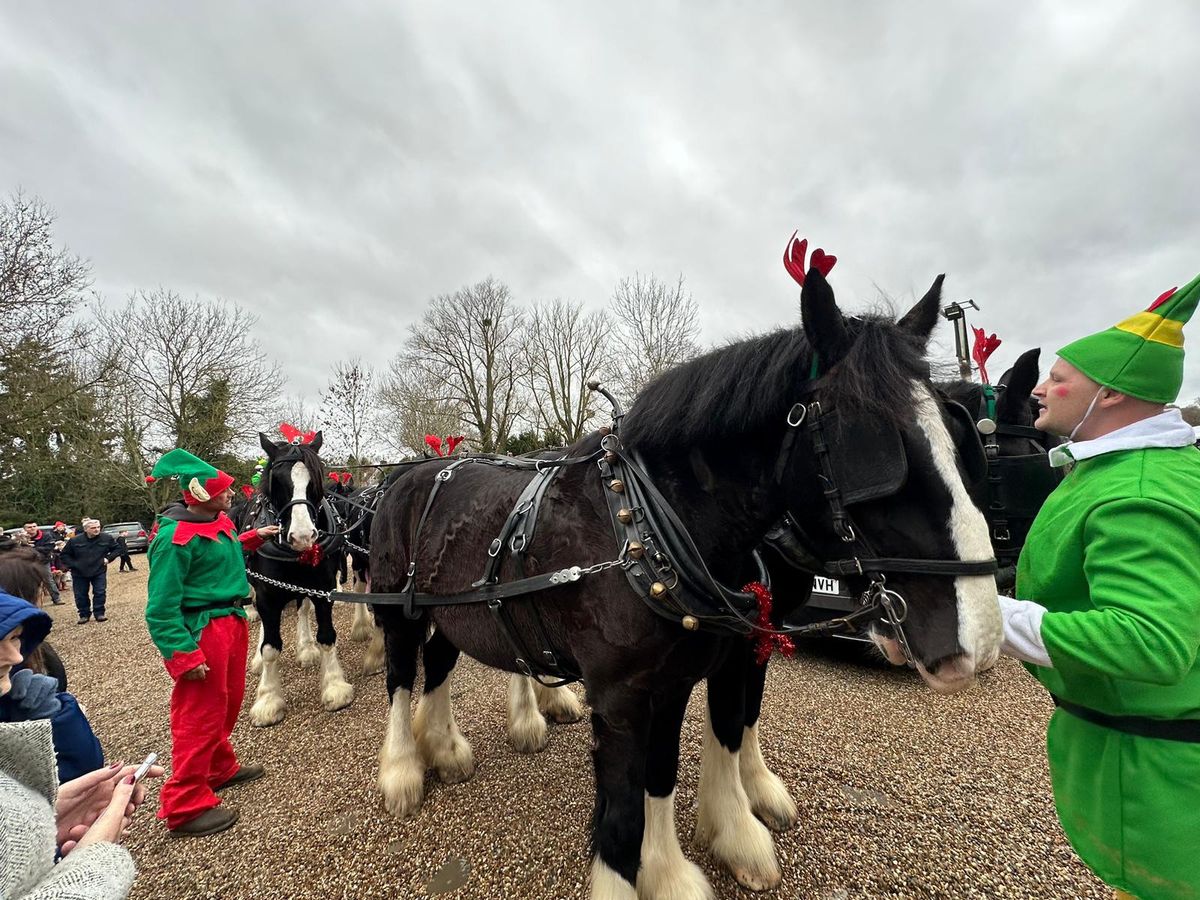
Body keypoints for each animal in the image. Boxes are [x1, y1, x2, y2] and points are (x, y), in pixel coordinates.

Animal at [236, 432, 352, 724]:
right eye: (276, 480)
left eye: (316, 477)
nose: (302, 536)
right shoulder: (267, 594)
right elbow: (270, 646)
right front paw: (268, 699)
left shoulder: (323, 588)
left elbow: (326, 635)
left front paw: (334, 686)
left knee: (302, 609)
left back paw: (306, 648)